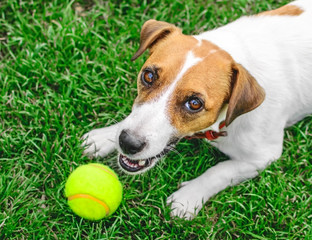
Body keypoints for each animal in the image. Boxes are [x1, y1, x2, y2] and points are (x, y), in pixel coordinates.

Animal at [83, 0, 312, 220]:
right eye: (148, 76)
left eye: (194, 103)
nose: (128, 143)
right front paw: (104, 137)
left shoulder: (263, 155)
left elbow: (219, 171)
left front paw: (187, 197)